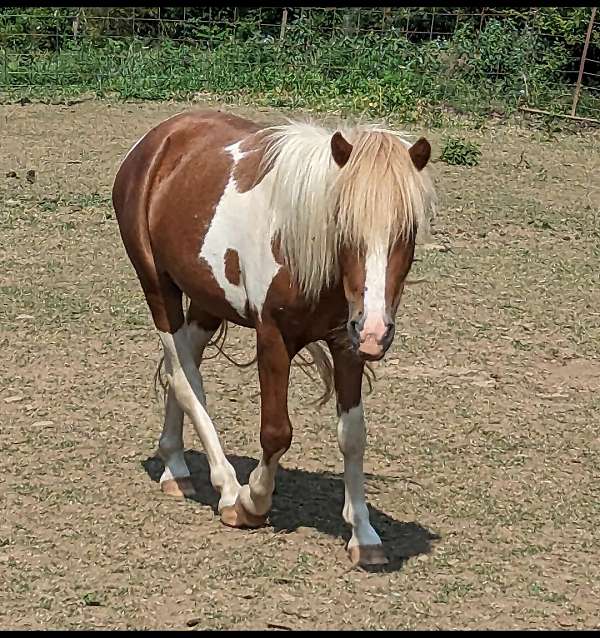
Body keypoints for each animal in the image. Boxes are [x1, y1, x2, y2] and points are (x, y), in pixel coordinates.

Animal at [112, 111, 434, 568]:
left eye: (408, 230)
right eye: (343, 224)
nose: (376, 331)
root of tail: (158, 139)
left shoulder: (347, 343)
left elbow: (353, 436)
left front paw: (364, 534)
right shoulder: (272, 338)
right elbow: (277, 432)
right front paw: (253, 501)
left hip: (207, 301)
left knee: (181, 367)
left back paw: (174, 465)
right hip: (158, 288)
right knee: (187, 379)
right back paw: (228, 490)